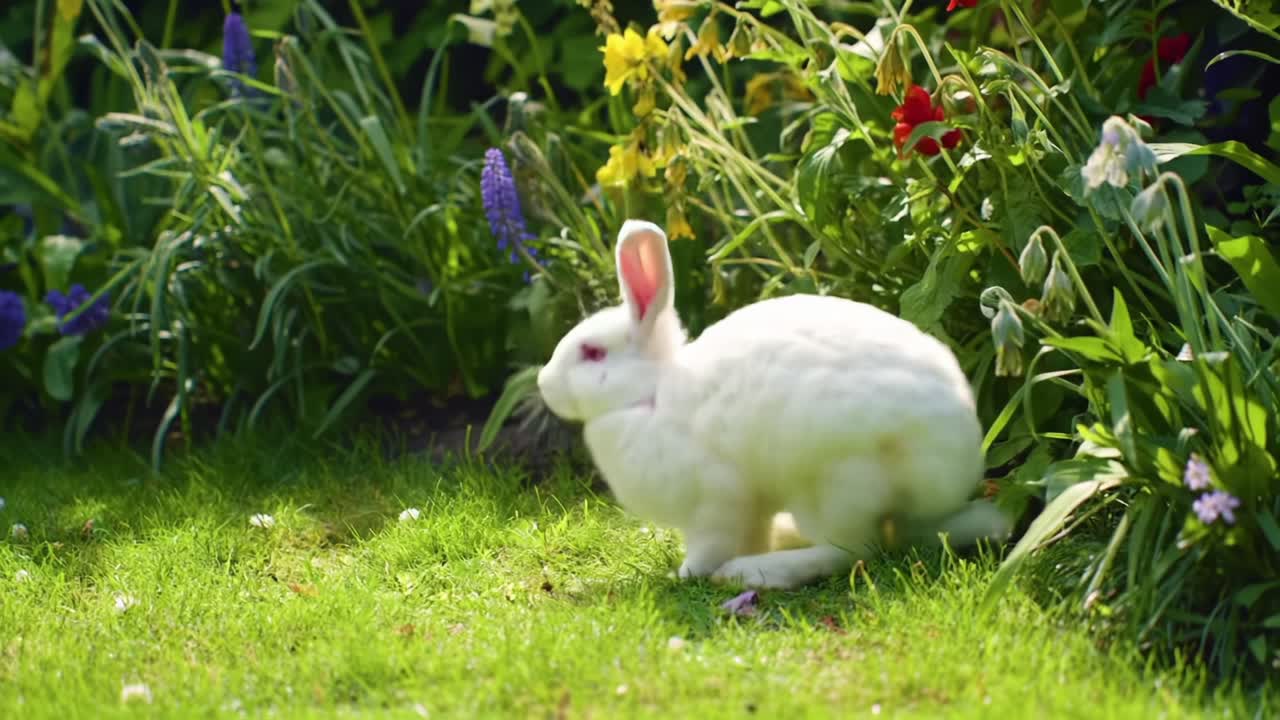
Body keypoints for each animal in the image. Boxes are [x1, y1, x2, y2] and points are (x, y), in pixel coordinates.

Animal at [536, 219, 1011, 589]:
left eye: (592, 353)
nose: (543, 383)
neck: (651, 395)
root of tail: (956, 471)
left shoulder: (715, 502)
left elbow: (709, 547)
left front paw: (685, 575)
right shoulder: (746, 506)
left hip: (835, 481)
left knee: (851, 549)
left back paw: (754, 573)